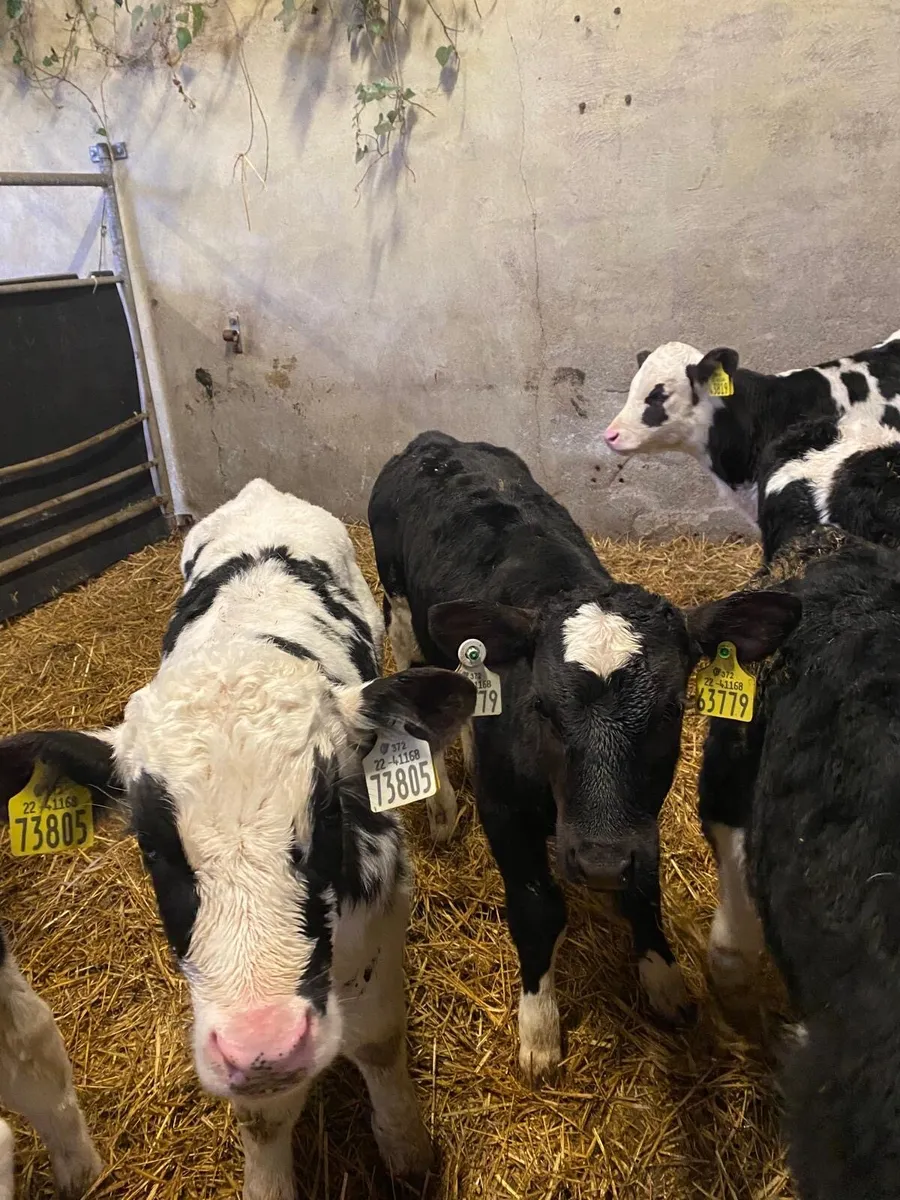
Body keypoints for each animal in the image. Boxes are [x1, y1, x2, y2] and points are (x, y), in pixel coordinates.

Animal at [368, 432, 800, 1078]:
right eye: (543, 707)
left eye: (674, 707)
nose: (598, 862)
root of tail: (437, 442)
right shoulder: (504, 812)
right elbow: (536, 907)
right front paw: (540, 1028)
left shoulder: (639, 820)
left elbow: (644, 887)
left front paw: (663, 978)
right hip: (398, 608)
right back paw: (442, 810)